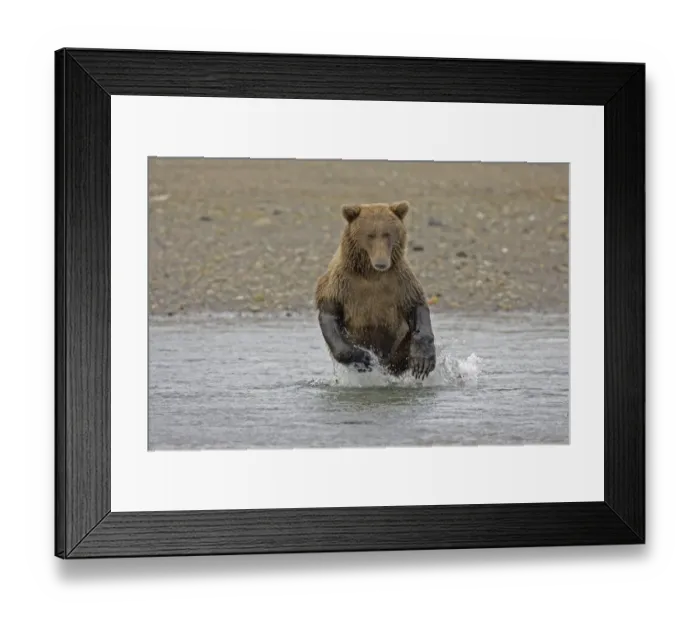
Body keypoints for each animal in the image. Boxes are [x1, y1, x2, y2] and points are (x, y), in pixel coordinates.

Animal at [314, 201, 437, 380]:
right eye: (370, 235)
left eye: (387, 234)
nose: (381, 263)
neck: (371, 273)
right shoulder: (340, 284)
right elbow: (330, 314)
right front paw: (363, 358)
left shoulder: (401, 281)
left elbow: (416, 305)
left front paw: (423, 361)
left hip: (397, 348)